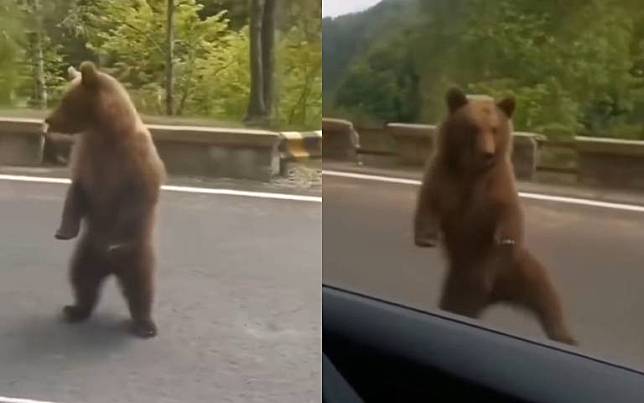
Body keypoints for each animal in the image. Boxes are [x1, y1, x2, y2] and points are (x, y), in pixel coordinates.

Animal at [44, 61, 166, 340]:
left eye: (66, 100)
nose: (48, 120)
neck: (105, 132)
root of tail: (111, 267)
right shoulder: (87, 156)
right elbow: (77, 190)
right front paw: (63, 230)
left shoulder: (134, 160)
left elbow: (137, 197)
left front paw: (117, 240)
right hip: (88, 250)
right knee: (82, 277)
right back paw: (75, 309)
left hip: (138, 254)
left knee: (141, 287)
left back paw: (146, 324)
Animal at [416, 87, 576, 346]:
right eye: (473, 127)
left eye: (494, 128)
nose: (488, 153)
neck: (471, 170)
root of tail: (497, 293)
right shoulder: (444, 175)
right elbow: (430, 201)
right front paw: (426, 238)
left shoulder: (496, 184)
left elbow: (507, 211)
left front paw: (505, 237)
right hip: (458, 284)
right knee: (454, 305)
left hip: (521, 269)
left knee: (548, 300)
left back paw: (564, 336)